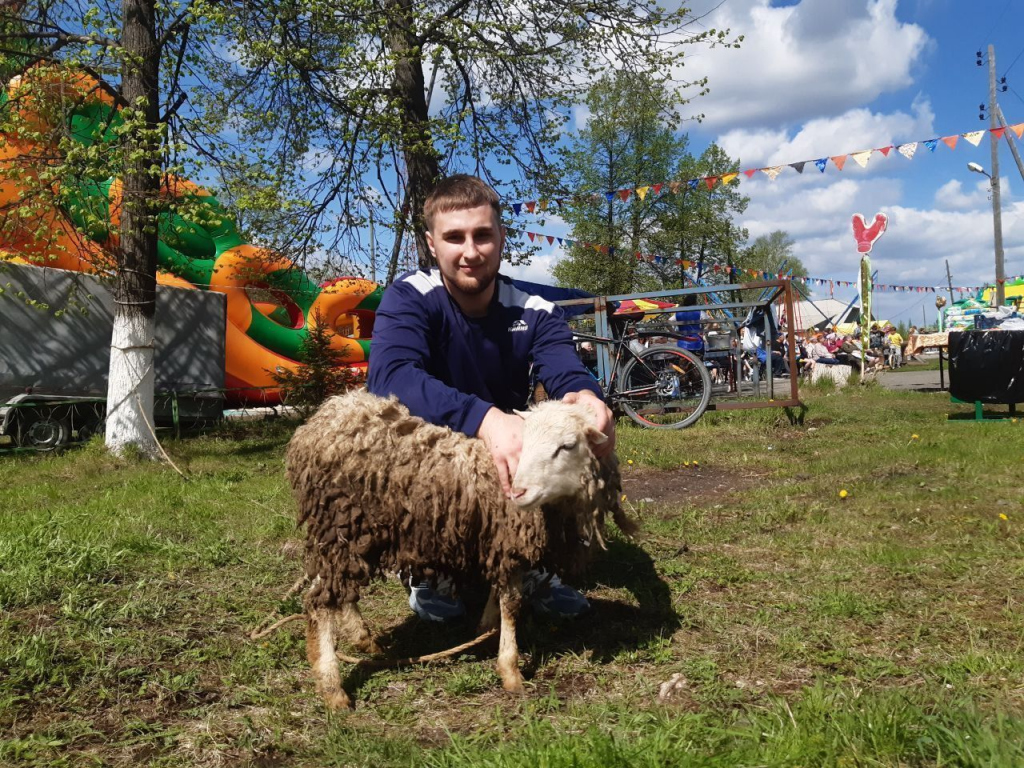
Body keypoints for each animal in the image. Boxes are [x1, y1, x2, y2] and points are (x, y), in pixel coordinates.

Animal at [284, 393, 626, 712]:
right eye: (522, 442)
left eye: (567, 445)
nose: (518, 492)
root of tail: (325, 416)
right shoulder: (510, 537)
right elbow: (512, 603)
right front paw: (510, 669)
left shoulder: (499, 541)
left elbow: (499, 594)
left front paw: (485, 629)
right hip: (341, 522)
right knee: (319, 601)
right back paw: (332, 685)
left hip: (350, 533)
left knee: (336, 590)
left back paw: (362, 638)